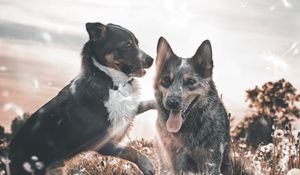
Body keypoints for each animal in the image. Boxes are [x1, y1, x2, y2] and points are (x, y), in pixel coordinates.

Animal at [8, 22, 155, 174]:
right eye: (127, 45)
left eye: (137, 43)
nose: (151, 60)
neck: (109, 82)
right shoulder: (100, 141)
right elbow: (131, 151)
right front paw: (147, 165)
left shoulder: (126, 112)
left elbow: (146, 104)